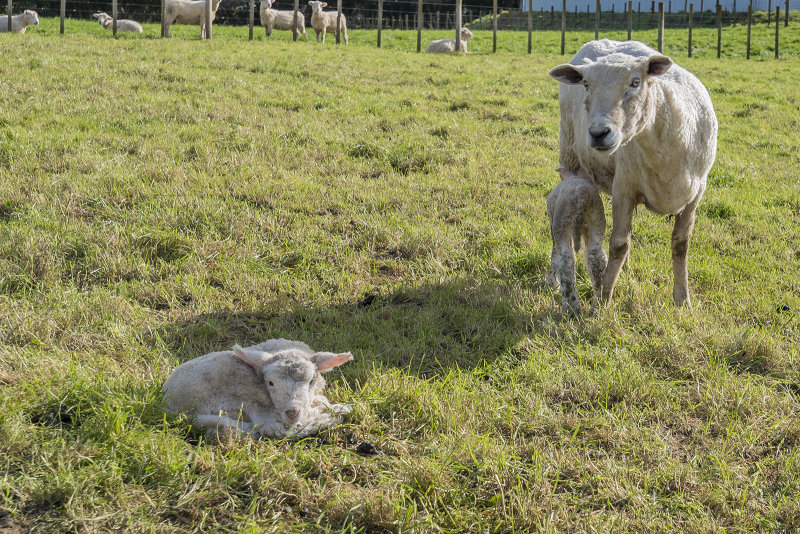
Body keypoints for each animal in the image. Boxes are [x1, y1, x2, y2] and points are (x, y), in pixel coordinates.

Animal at [548, 165, 608, 314]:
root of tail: (583, 195)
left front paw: (552, 283)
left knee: (566, 263)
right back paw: (597, 306)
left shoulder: (553, 224)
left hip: (562, 223)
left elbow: (554, 255)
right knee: (596, 260)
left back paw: (571, 309)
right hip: (596, 221)